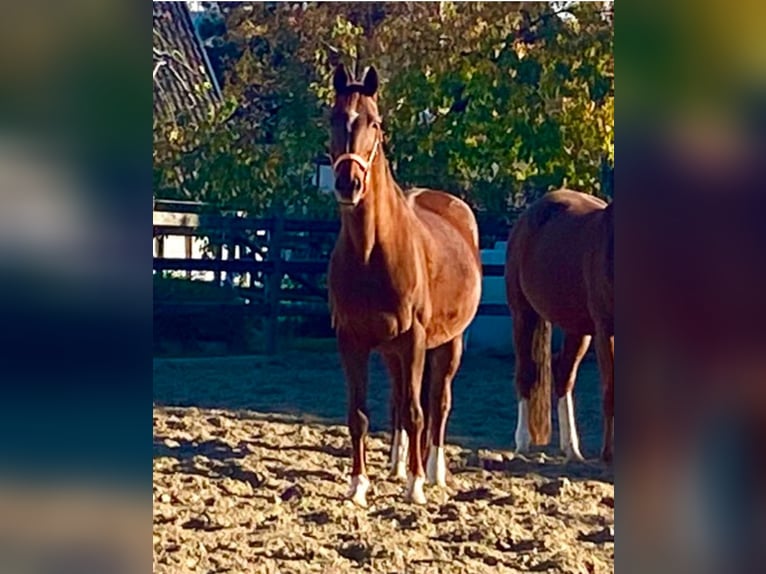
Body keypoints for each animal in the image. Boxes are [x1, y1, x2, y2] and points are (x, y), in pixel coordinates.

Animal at [328, 64, 484, 508]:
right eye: (333, 118)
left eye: (374, 122)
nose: (348, 184)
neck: (371, 251)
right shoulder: (352, 339)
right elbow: (359, 414)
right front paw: (358, 485)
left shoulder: (415, 339)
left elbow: (418, 413)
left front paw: (415, 486)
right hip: (391, 351)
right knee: (399, 400)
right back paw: (397, 465)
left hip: (448, 344)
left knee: (436, 404)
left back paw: (432, 471)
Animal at [508, 191, 616, 466]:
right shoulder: (605, 332)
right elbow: (610, 390)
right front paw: (609, 455)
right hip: (523, 315)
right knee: (526, 373)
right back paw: (522, 443)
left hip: (577, 330)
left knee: (563, 376)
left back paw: (572, 450)